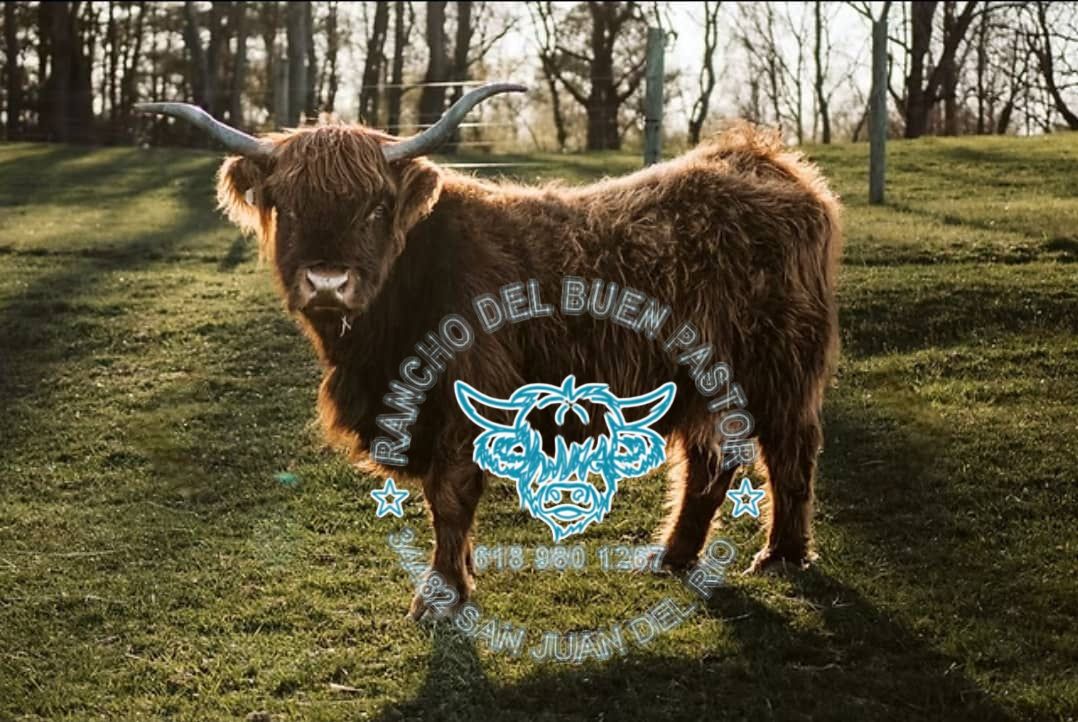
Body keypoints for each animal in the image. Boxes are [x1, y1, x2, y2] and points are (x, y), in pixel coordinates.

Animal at [137, 83, 842, 619]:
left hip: (780, 370)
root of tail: (765, 161)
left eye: (377, 207)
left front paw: (439, 595)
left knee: (790, 452)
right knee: (708, 463)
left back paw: (779, 555)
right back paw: (671, 557)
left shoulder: (461, 399)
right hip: (703, 381)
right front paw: (461, 576)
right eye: (285, 205)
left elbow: (450, 496)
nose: (328, 282)